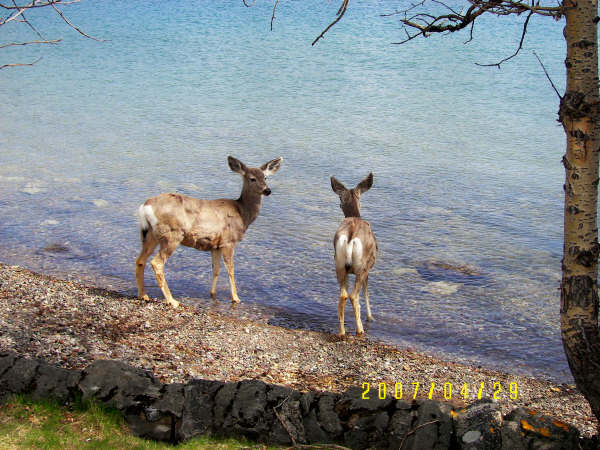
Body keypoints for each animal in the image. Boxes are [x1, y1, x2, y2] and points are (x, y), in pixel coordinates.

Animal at [136, 156, 284, 308]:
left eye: (266, 177)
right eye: (252, 178)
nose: (267, 190)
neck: (243, 214)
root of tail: (145, 207)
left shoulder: (215, 245)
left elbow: (216, 269)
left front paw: (213, 294)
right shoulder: (228, 241)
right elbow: (231, 270)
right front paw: (236, 298)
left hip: (149, 234)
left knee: (140, 260)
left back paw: (144, 295)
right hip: (172, 234)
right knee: (157, 263)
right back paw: (172, 300)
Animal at [330, 174, 378, 336]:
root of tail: (350, 237)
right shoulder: (369, 268)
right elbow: (366, 293)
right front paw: (370, 317)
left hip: (339, 265)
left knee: (342, 295)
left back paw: (342, 331)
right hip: (361, 268)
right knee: (354, 295)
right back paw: (360, 329)